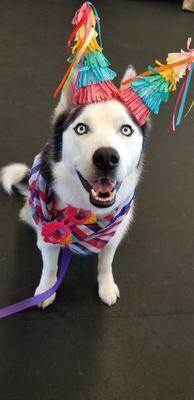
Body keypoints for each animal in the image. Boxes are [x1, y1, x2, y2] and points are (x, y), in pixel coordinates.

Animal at [0, 66, 149, 310]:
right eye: (81, 128)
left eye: (126, 130)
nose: (106, 158)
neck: (86, 211)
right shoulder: (49, 238)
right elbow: (50, 265)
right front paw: (46, 289)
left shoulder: (113, 236)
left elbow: (106, 263)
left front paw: (106, 286)